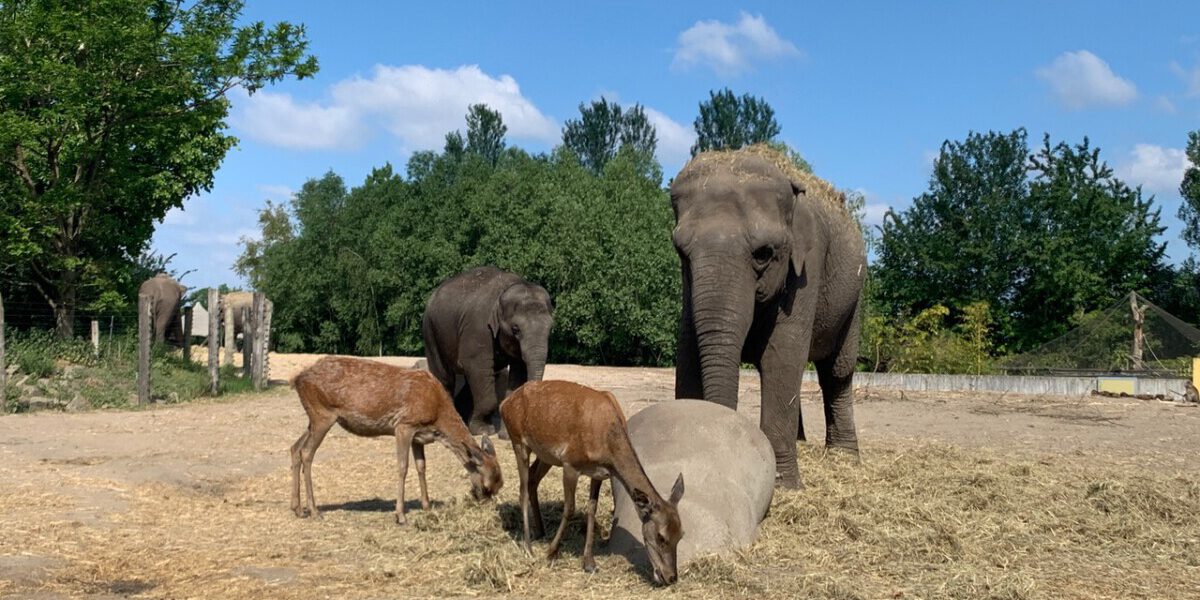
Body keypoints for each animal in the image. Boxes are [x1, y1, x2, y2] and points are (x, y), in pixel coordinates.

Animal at [292, 355, 504, 525]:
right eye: (487, 486)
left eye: (500, 485)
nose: (485, 506)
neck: (437, 416)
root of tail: (297, 380)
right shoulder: (404, 425)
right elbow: (403, 467)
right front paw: (401, 515)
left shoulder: (419, 436)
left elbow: (421, 466)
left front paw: (427, 506)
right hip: (323, 414)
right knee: (306, 452)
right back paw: (314, 511)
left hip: (314, 419)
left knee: (295, 447)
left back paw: (297, 509)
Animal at [422, 265, 552, 434]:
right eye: (515, 329)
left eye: (550, 329)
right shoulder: (478, 328)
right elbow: (477, 366)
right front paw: (484, 431)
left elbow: (518, 370)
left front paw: (506, 434)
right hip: (431, 330)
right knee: (445, 376)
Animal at [496, 381, 686, 583]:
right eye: (661, 537)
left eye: (681, 534)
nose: (671, 577)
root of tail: (504, 403)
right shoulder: (570, 463)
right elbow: (570, 508)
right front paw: (551, 552)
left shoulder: (599, 473)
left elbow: (592, 509)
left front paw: (589, 562)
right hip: (518, 441)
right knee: (522, 490)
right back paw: (528, 547)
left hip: (546, 455)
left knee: (532, 479)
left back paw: (540, 531)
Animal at [672, 145, 868, 487]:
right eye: (681, 253)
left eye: (764, 254)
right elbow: (688, 350)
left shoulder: (807, 267)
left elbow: (783, 354)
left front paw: (782, 484)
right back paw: (803, 443)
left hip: (853, 299)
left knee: (837, 372)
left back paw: (844, 457)